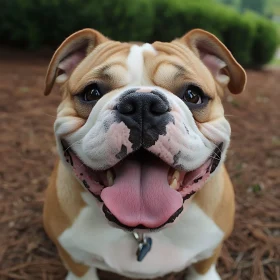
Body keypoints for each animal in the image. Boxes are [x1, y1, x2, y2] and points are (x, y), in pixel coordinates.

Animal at [42, 29, 246, 280]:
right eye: (91, 93)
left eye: (192, 95)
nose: (142, 103)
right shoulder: (73, 255)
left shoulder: (210, 250)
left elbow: (203, 266)